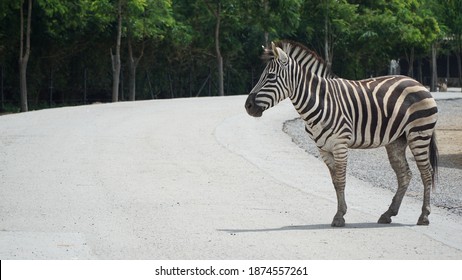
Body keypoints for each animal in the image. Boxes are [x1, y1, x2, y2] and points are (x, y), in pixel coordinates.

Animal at [244, 40, 438, 228]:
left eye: (270, 77)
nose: (248, 106)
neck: (322, 102)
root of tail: (417, 82)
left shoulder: (340, 144)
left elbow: (341, 179)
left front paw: (339, 217)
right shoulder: (323, 148)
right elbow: (335, 181)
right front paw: (340, 214)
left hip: (419, 134)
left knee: (426, 172)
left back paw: (424, 216)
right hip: (397, 140)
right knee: (405, 174)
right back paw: (388, 214)